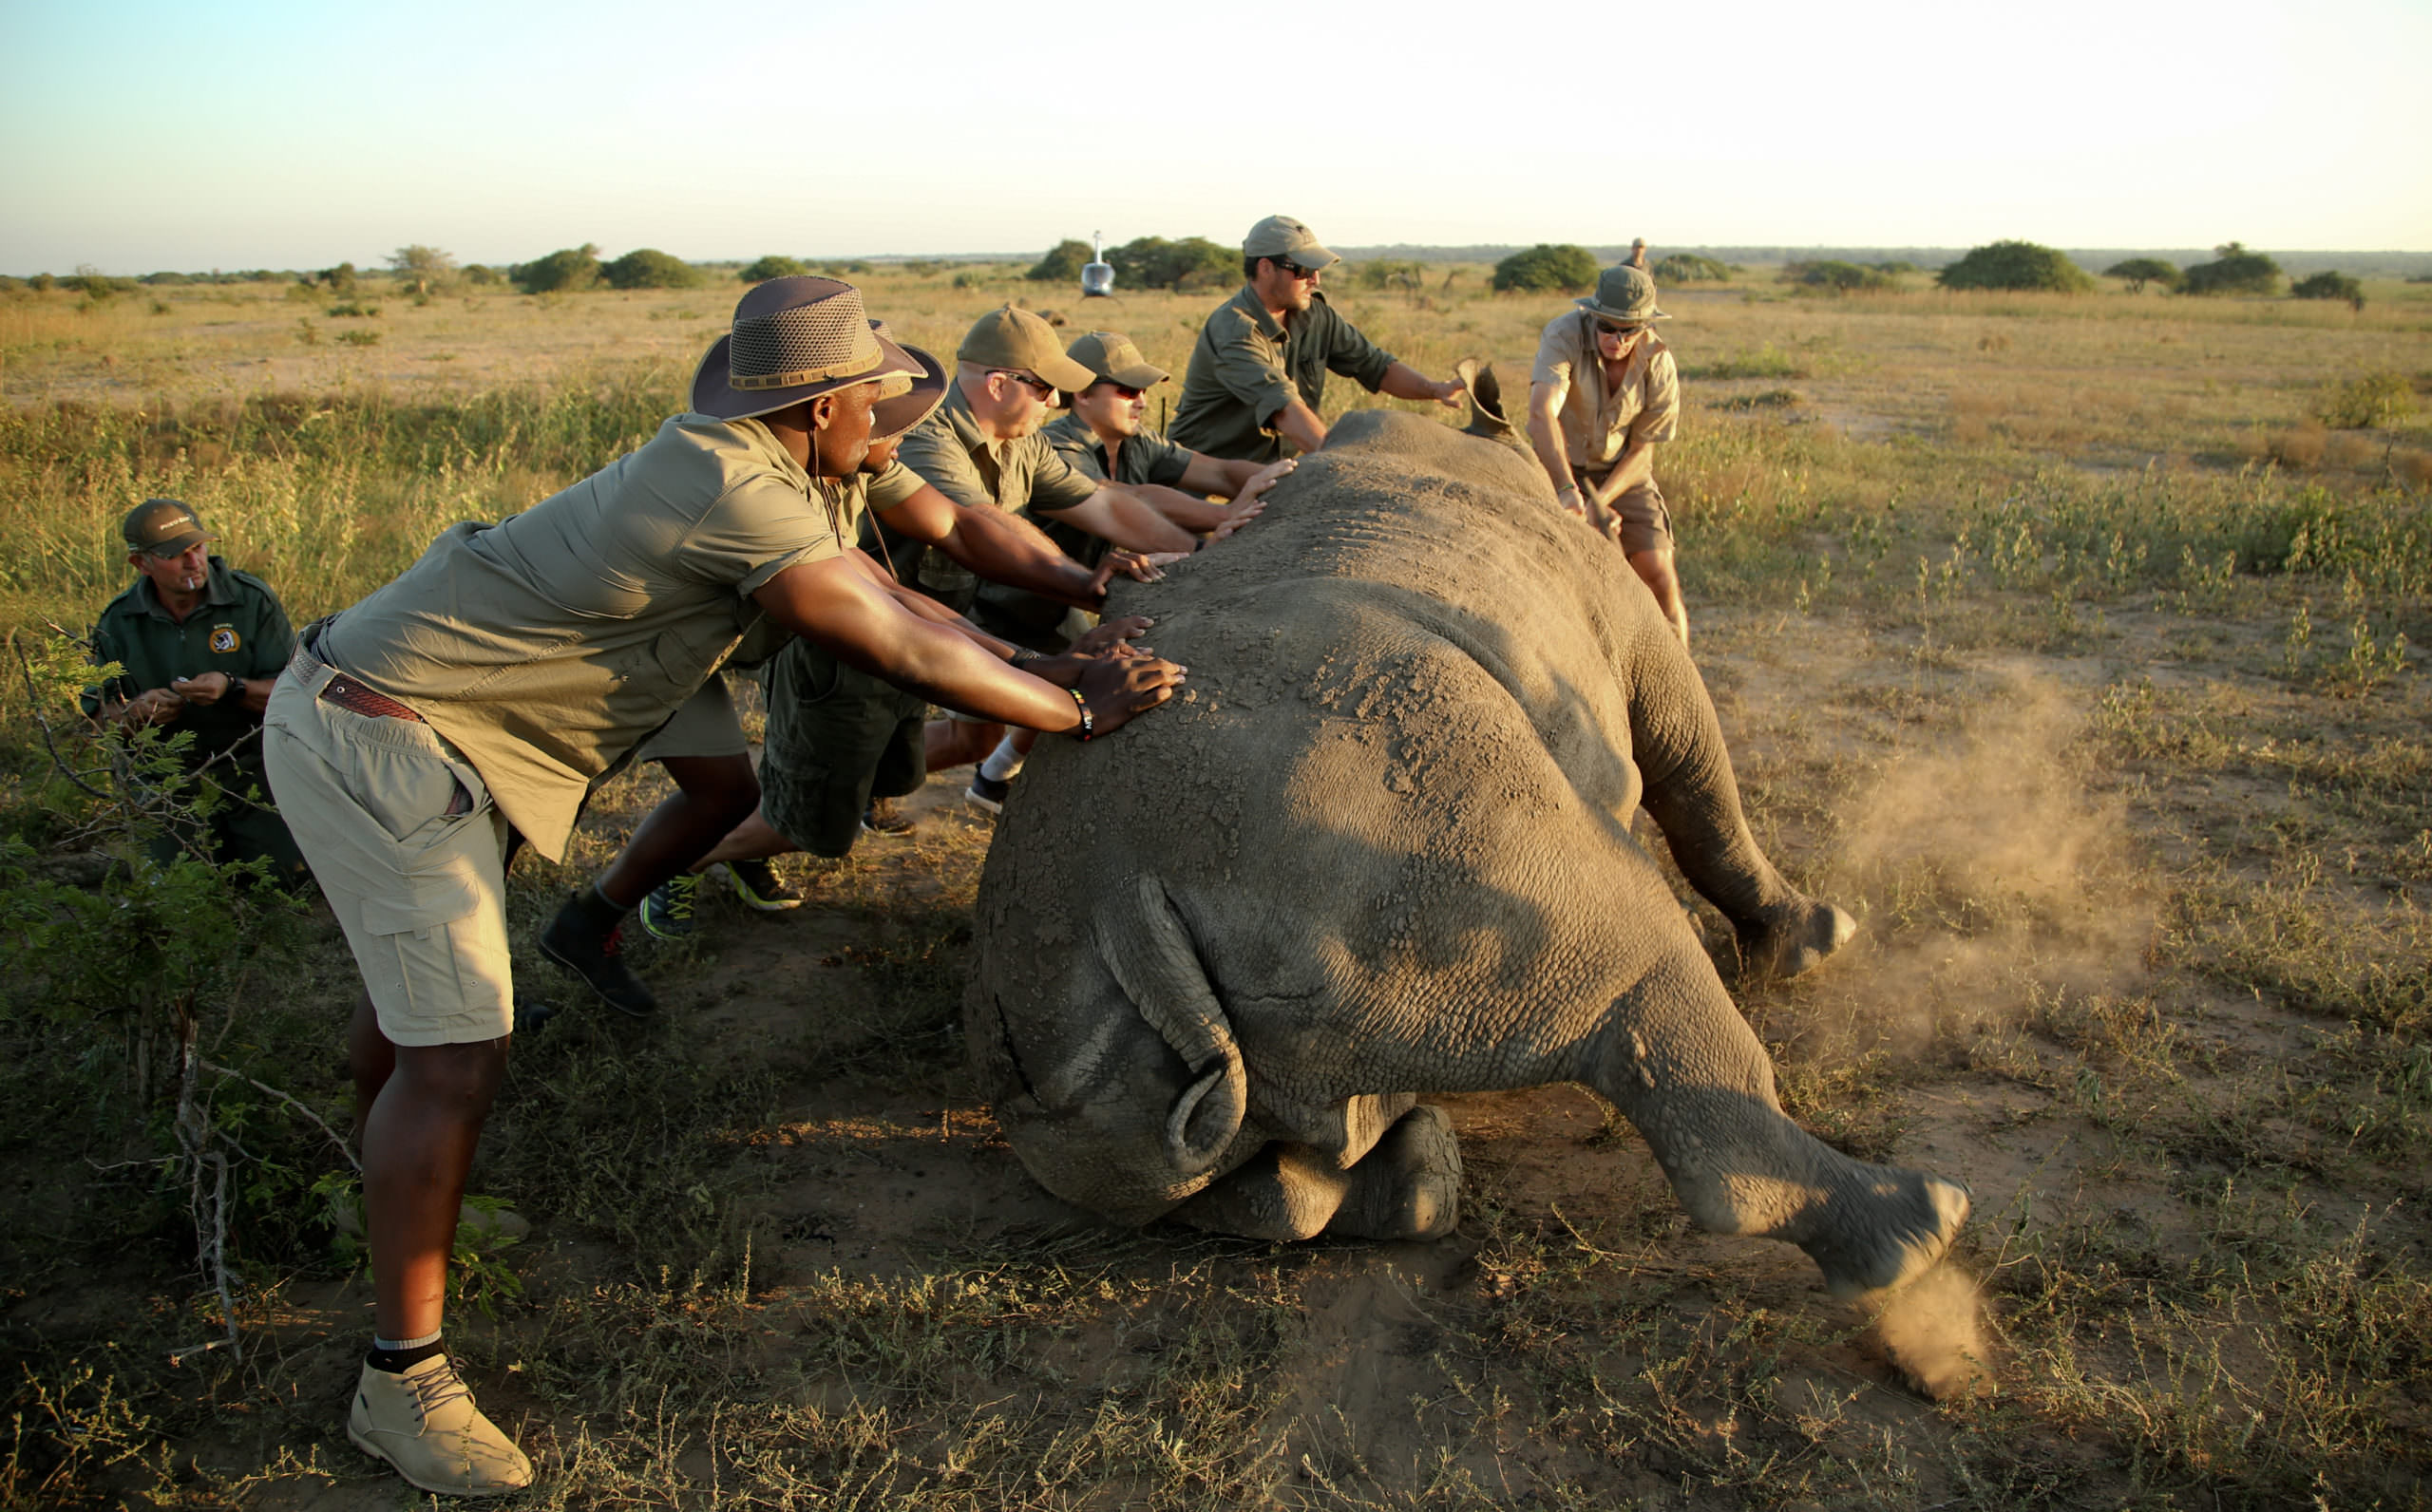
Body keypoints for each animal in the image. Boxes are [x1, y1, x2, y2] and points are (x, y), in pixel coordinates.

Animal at [958, 403, 1965, 1302]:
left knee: (1205, 1170)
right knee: (1626, 939)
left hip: (1072, 1065)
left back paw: (1415, 1178)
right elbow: (1701, 785)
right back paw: (1925, 1228)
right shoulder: (1636, 633)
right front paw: (1812, 942)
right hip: (1380, 819)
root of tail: (1127, 899)